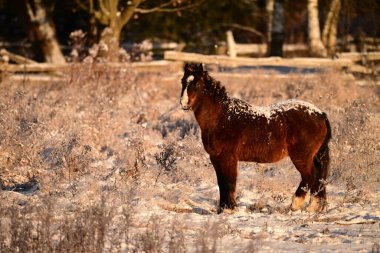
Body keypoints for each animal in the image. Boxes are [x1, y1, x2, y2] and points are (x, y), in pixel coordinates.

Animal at [180, 63, 332, 213]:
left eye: (197, 84)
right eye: (183, 81)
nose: (183, 103)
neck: (222, 117)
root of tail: (320, 114)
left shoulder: (227, 158)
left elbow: (228, 182)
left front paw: (228, 208)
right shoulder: (216, 158)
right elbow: (221, 182)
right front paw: (223, 208)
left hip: (301, 156)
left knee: (310, 176)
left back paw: (297, 204)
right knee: (318, 179)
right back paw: (315, 207)